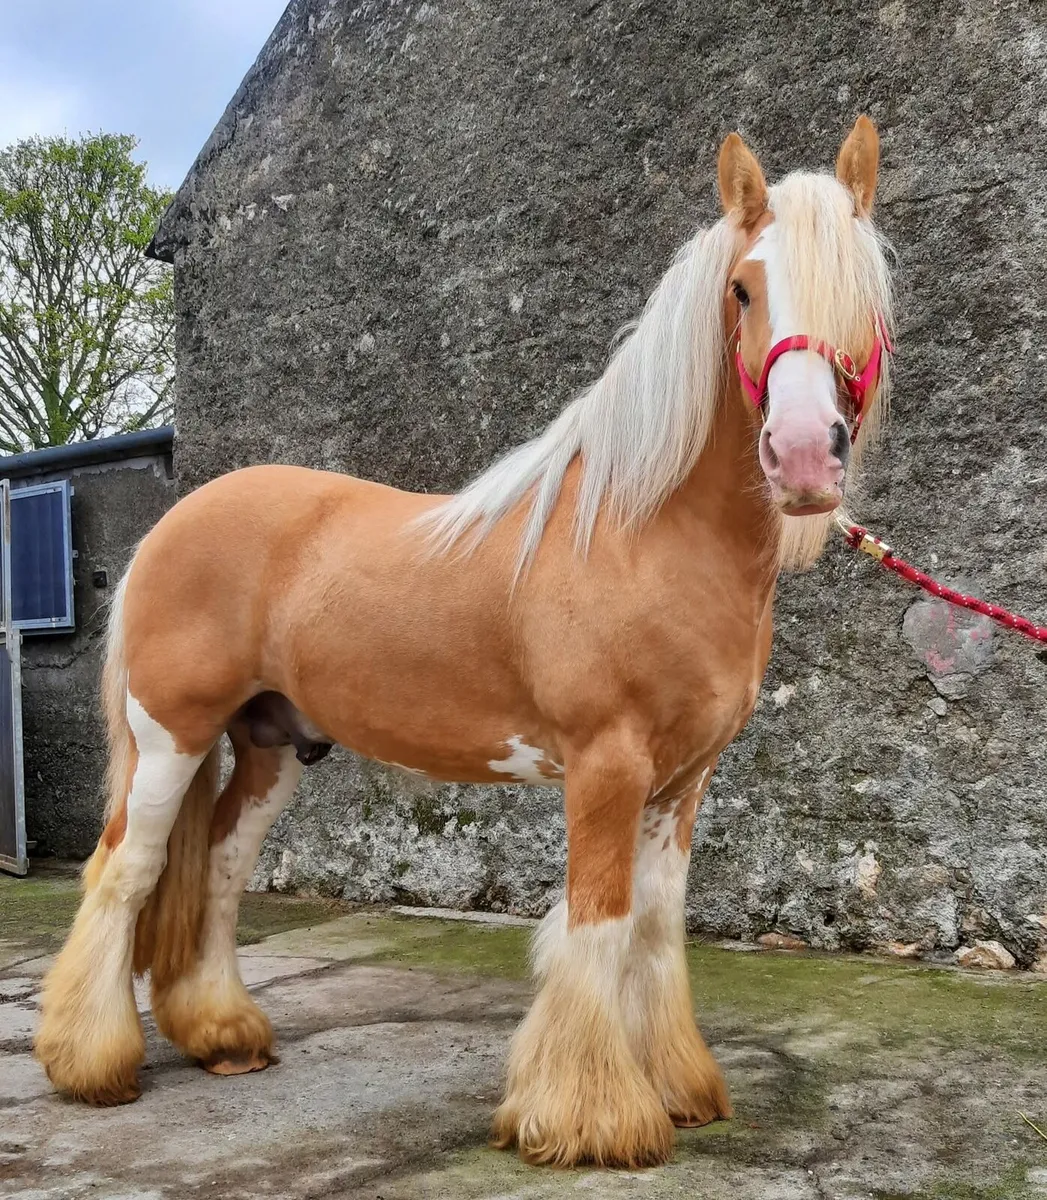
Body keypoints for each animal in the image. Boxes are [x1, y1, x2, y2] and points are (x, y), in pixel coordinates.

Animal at [35, 116, 893, 1169]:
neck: (643, 531)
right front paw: (590, 1118)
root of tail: (172, 523)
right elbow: (597, 923)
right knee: (124, 872)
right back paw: (91, 1064)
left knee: (224, 869)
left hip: (270, 745)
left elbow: (655, 928)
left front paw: (677, 1087)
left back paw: (225, 1036)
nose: (805, 455)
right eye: (741, 288)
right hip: (172, 738)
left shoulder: (683, 780)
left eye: (863, 289)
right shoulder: (605, 765)